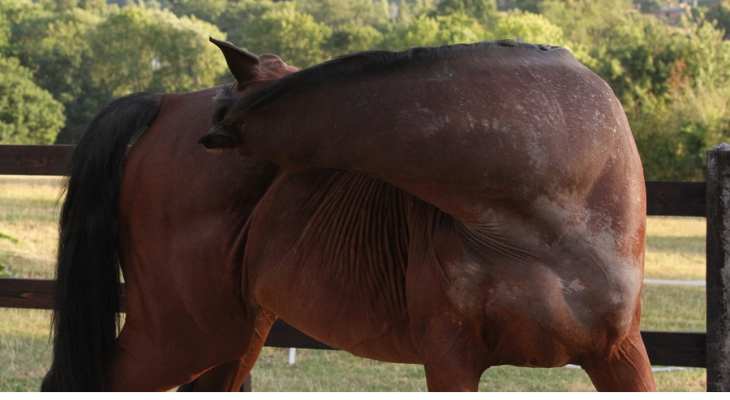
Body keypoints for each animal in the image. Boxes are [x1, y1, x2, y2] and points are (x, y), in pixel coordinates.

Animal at [42, 38, 656, 391]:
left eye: (231, 102)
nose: (210, 134)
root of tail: (166, 101)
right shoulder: (451, 357)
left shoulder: (620, 354)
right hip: (179, 338)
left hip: (229, 335)